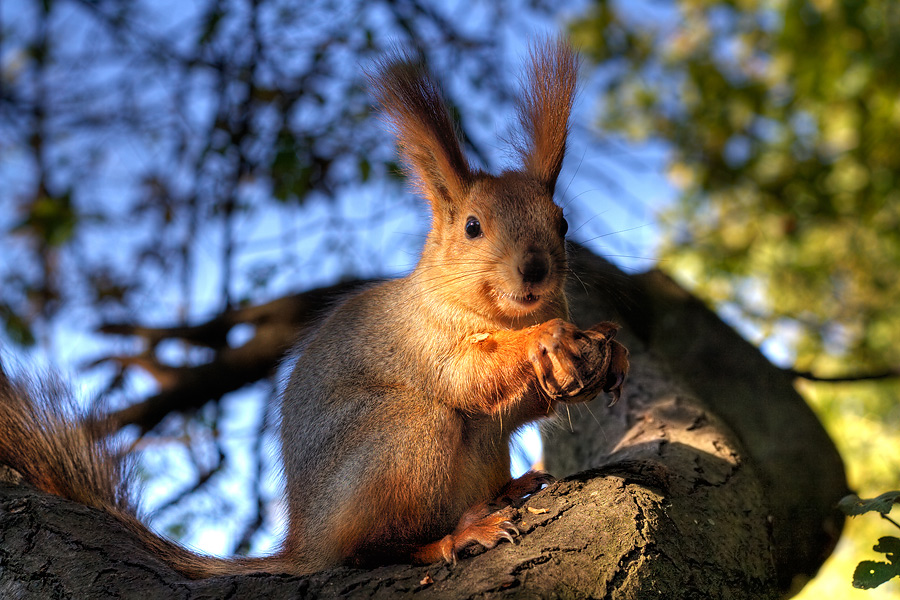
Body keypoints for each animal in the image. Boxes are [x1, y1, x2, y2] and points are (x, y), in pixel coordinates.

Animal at [0, 38, 624, 580]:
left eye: (562, 222)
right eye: (472, 227)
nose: (535, 271)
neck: (502, 313)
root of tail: (306, 541)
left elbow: (525, 406)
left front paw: (607, 347)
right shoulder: (422, 340)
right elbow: (468, 377)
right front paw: (547, 338)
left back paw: (509, 490)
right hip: (405, 437)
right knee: (373, 548)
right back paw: (458, 535)